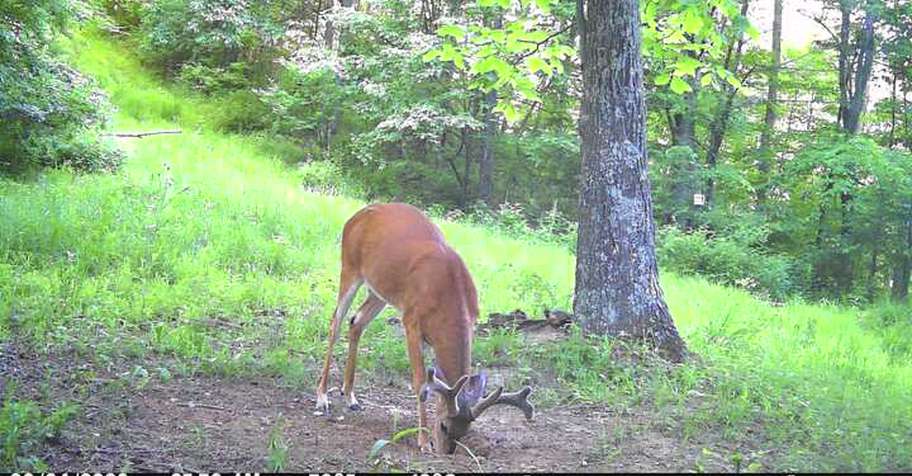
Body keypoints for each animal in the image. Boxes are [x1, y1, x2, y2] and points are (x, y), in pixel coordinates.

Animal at [314, 202, 534, 454]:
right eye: (444, 426)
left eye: (465, 431)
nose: (447, 452)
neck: (448, 295)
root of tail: (355, 216)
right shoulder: (411, 321)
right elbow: (421, 382)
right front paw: (423, 441)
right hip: (349, 267)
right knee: (335, 323)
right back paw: (322, 397)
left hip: (379, 290)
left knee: (356, 323)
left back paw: (351, 397)